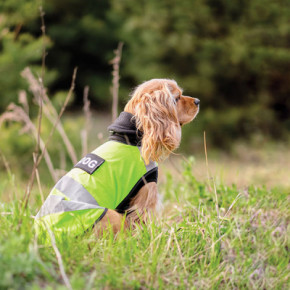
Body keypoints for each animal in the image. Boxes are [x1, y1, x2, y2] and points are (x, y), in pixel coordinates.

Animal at [34, 78, 199, 240]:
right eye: (176, 98)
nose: (197, 101)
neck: (129, 137)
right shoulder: (146, 192)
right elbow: (141, 222)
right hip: (108, 215)